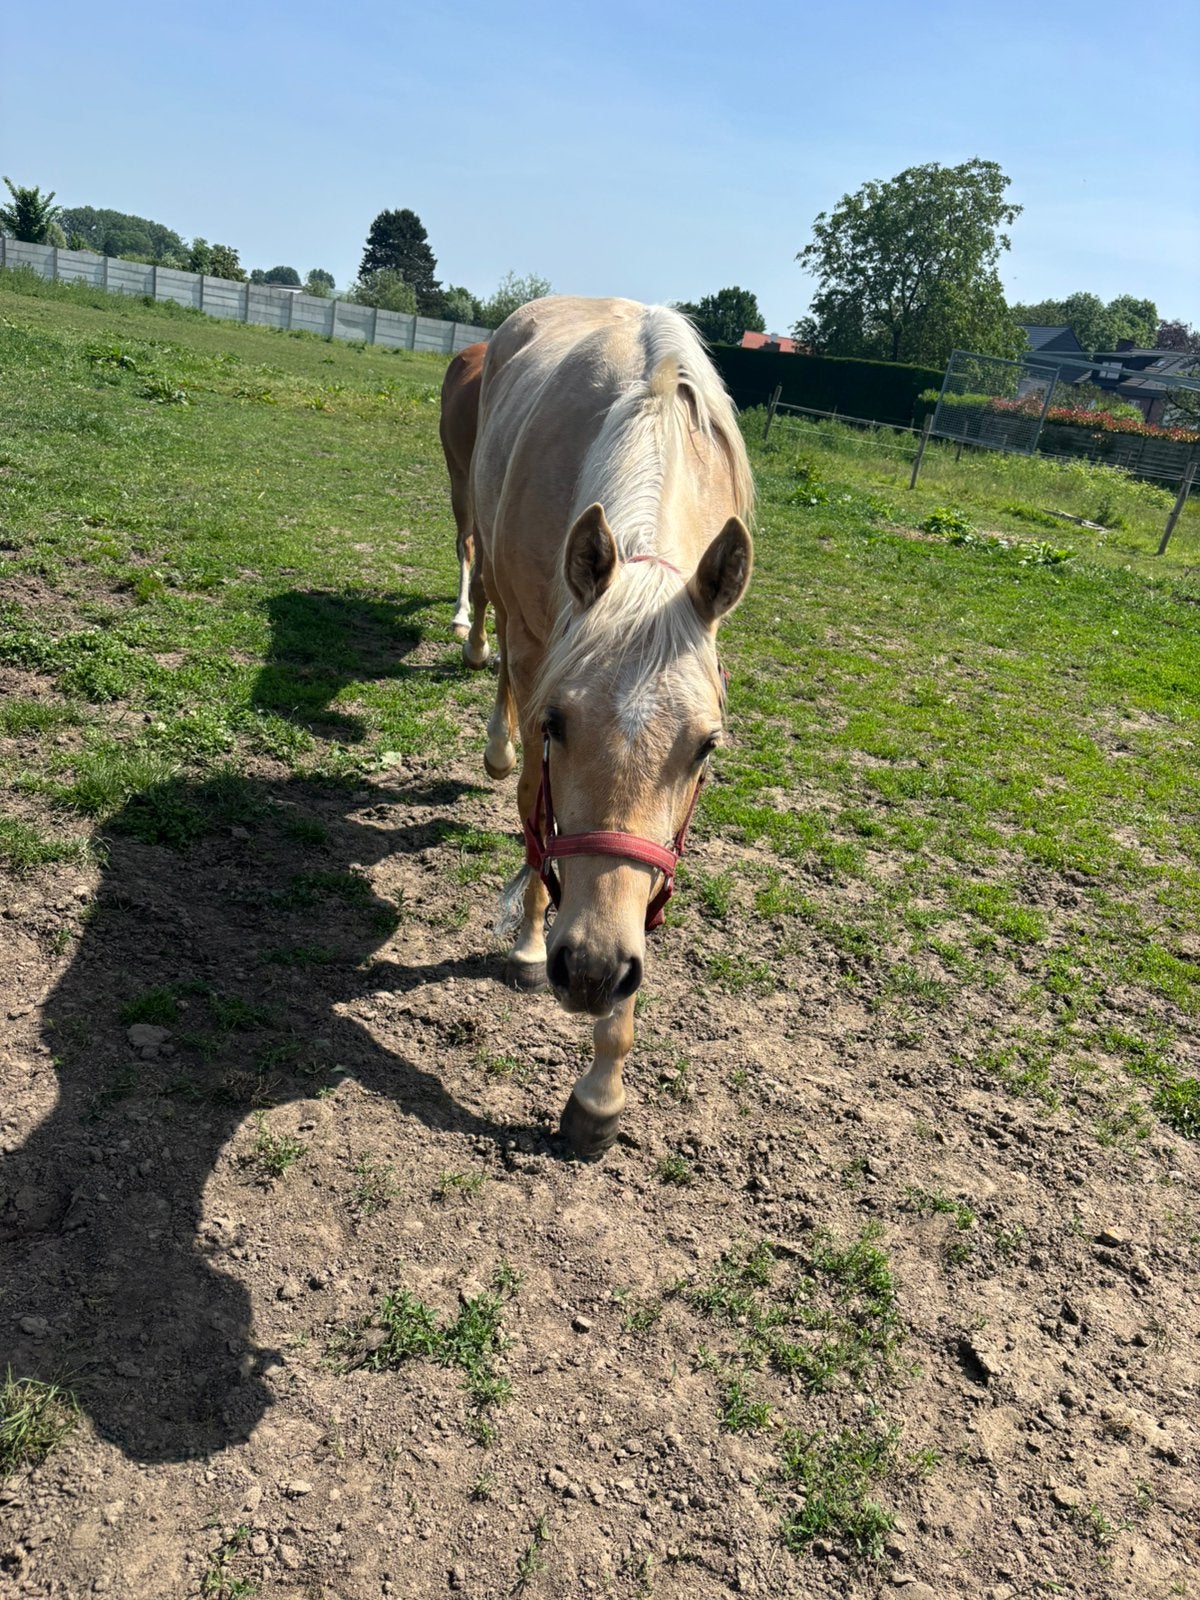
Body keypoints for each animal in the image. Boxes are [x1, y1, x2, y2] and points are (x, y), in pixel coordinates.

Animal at [466, 296, 754, 1159]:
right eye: (559, 724)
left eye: (706, 747)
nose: (591, 968)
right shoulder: (539, 656)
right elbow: (534, 807)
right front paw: (529, 938)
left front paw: (600, 1092)